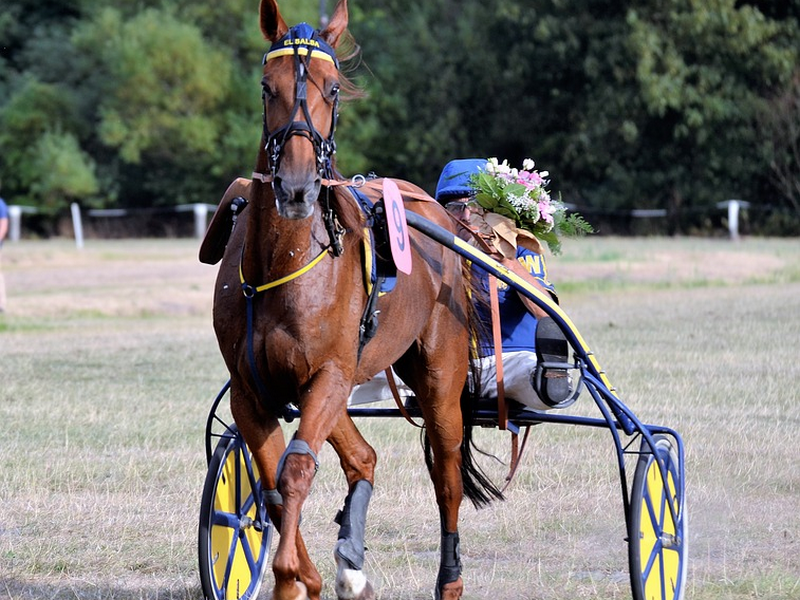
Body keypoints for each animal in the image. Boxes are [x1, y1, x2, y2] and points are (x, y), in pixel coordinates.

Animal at [206, 2, 500, 596]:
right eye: (267, 87)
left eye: (333, 88)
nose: (296, 187)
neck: (283, 264)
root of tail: (438, 213)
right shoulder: (254, 390)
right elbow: (272, 483)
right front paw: (309, 574)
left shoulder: (328, 374)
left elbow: (295, 471)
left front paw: (290, 576)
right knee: (363, 458)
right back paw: (350, 560)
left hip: (437, 377)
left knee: (447, 476)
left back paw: (448, 579)